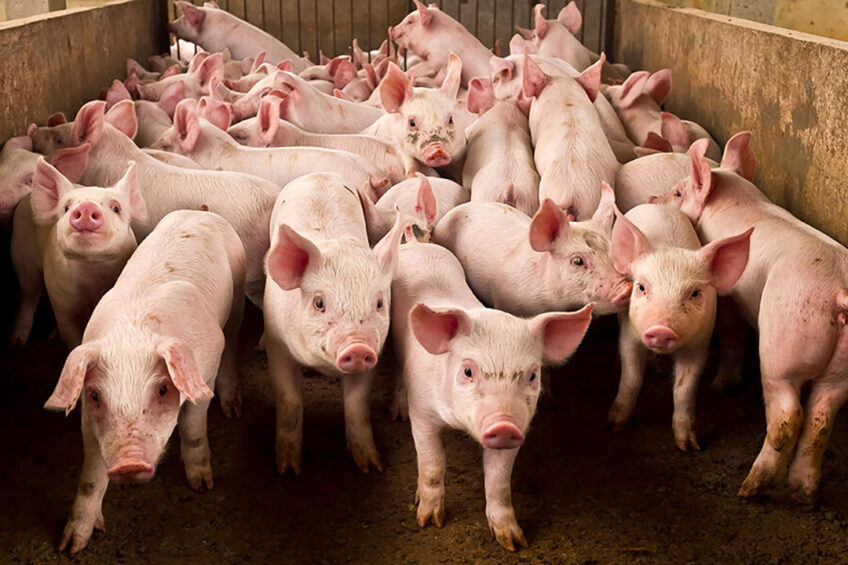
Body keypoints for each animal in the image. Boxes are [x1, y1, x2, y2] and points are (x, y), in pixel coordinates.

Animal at [44, 209, 245, 553]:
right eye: (95, 395)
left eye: (163, 389)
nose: (129, 463)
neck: (133, 334)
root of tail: (200, 211)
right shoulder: (88, 419)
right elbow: (91, 476)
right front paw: (70, 545)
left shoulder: (203, 375)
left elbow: (193, 428)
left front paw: (202, 485)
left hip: (238, 294)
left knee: (231, 344)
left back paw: (234, 409)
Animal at [264, 173, 404, 474]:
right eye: (319, 303)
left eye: (378, 303)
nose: (358, 347)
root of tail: (319, 174)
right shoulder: (276, 344)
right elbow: (289, 400)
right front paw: (288, 470)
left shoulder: (375, 353)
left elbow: (357, 405)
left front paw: (371, 467)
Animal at [391, 236, 593, 550]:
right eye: (467, 371)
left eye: (532, 375)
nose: (504, 425)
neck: (458, 424)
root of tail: (415, 242)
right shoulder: (422, 414)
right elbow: (433, 463)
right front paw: (428, 521)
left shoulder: (519, 430)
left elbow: (499, 481)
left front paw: (514, 542)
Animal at [607, 203, 752, 450]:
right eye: (641, 287)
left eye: (695, 293)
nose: (661, 330)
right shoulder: (630, 334)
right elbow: (632, 378)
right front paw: (612, 426)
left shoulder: (699, 343)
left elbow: (684, 389)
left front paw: (690, 446)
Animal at [656, 134, 848, 502]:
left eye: (678, 193)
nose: (652, 198)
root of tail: (837, 290)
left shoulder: (728, 294)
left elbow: (732, 332)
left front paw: (721, 384)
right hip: (841, 369)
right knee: (822, 415)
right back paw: (804, 495)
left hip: (783, 345)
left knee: (788, 415)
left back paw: (749, 489)